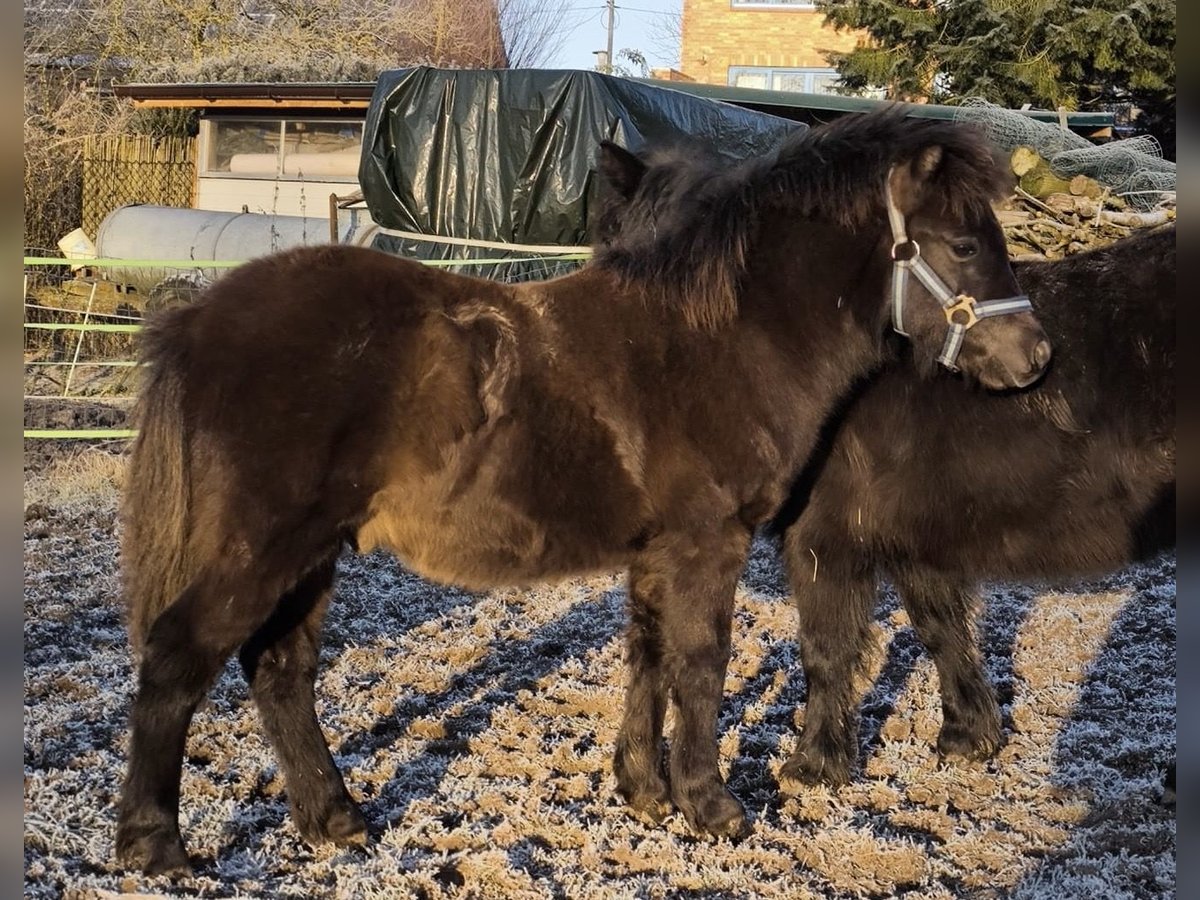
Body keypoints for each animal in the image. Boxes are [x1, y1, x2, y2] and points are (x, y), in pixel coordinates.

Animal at [114, 109, 1051, 878]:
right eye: (963, 245)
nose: (1036, 359)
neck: (724, 339)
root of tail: (199, 321)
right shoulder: (709, 541)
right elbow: (702, 663)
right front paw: (713, 807)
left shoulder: (657, 550)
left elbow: (649, 656)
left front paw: (643, 790)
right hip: (264, 546)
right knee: (178, 660)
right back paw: (155, 847)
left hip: (311, 554)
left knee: (281, 670)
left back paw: (334, 819)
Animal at [772, 225, 1176, 787]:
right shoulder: (912, 539)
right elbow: (942, 630)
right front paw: (969, 736)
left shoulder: (822, 539)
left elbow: (824, 649)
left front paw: (811, 766)